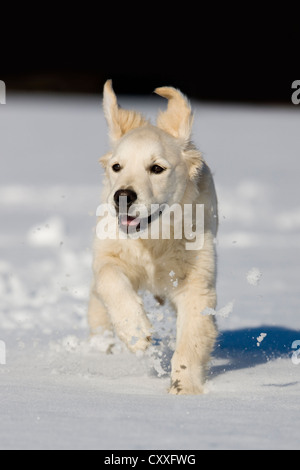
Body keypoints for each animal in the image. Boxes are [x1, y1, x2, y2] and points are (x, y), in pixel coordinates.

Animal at [88, 80, 218, 392]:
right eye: (117, 167)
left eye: (157, 168)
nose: (122, 197)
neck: (152, 238)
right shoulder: (108, 255)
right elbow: (111, 281)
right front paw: (136, 332)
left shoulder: (196, 282)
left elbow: (192, 338)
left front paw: (185, 387)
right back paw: (101, 346)